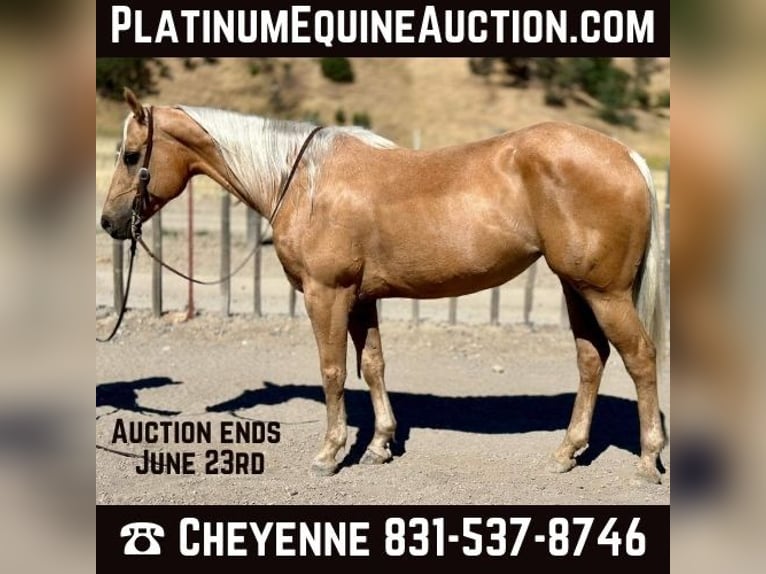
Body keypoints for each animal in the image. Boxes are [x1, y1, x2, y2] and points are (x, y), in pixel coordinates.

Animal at [101, 88, 666, 483]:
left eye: (130, 155)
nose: (109, 222)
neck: (302, 180)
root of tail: (627, 156)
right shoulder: (361, 299)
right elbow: (372, 366)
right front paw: (379, 445)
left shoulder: (327, 295)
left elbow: (332, 371)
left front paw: (330, 453)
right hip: (577, 287)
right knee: (592, 359)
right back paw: (567, 452)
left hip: (605, 293)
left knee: (640, 358)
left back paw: (647, 460)